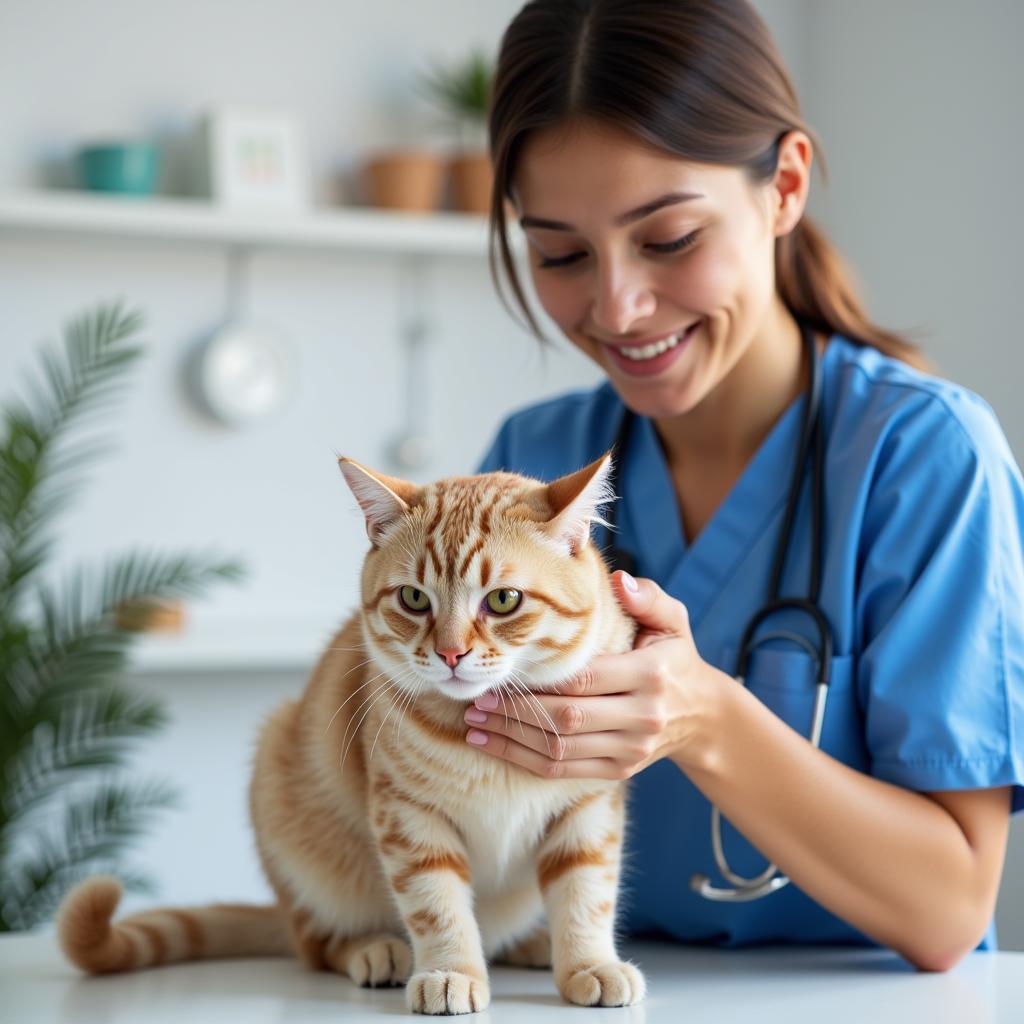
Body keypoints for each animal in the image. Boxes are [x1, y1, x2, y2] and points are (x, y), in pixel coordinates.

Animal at [56, 456, 643, 1015]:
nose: (451, 653)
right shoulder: (408, 816)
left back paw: (534, 944)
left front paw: (589, 963)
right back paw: (376, 950)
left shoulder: (588, 807)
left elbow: (586, 894)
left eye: (502, 601)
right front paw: (450, 971)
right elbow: (437, 905)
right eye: (413, 599)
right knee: (317, 944)